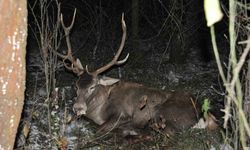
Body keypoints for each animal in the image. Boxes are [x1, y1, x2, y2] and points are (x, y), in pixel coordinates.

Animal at [56, 9, 201, 137]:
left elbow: (100, 129)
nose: (78, 108)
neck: (99, 110)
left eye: (93, 86)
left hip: (163, 111)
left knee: (163, 131)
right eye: (76, 86)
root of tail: (200, 113)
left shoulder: (122, 114)